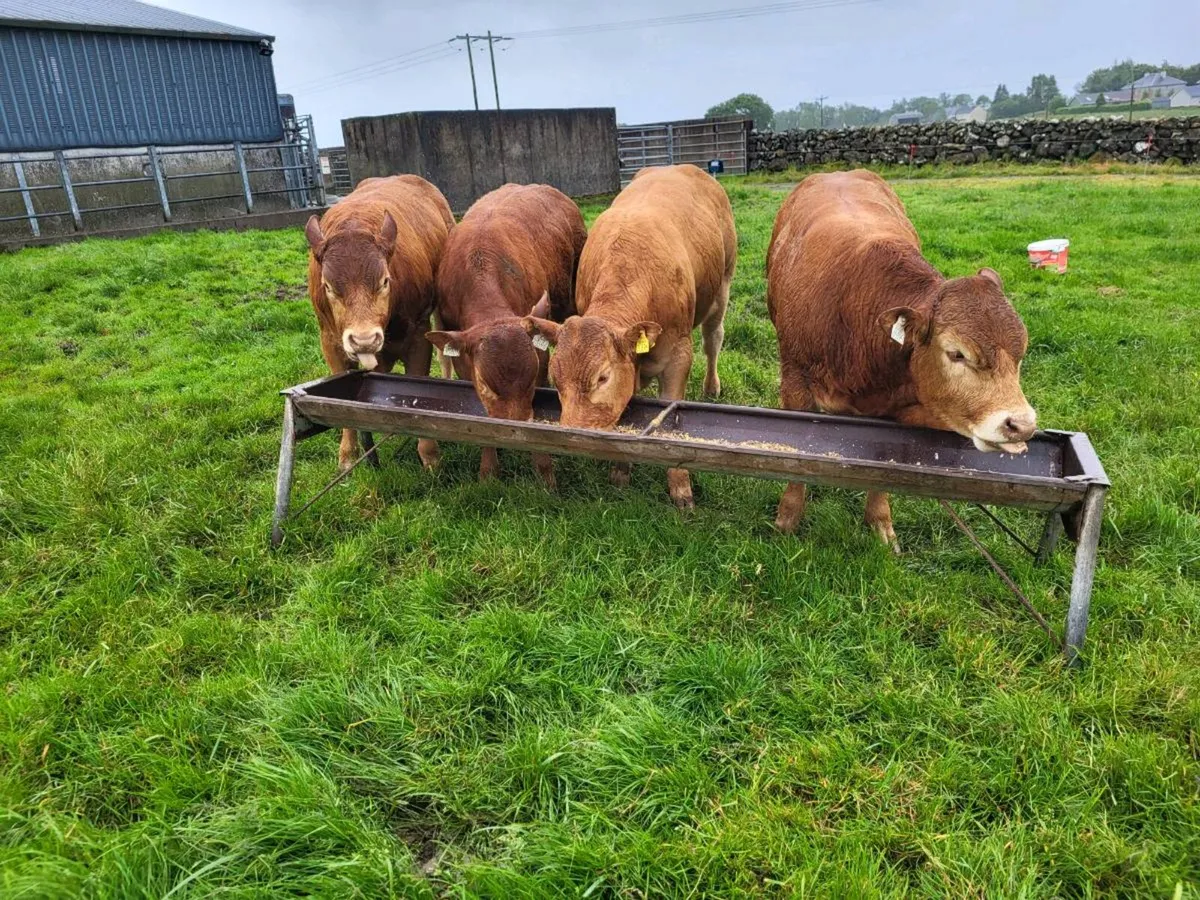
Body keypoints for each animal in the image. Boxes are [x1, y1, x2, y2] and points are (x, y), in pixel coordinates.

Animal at [305, 175, 454, 472]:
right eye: (328, 286)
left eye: (384, 281)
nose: (364, 339)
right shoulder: (330, 341)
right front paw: (348, 456)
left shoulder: (418, 334)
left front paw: (430, 455)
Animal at [425, 183, 587, 488]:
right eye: (484, 383)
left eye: (531, 381)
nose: (513, 435)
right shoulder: (463, 362)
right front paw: (488, 470)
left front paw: (544, 472)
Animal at [522, 165, 737, 509]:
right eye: (555, 379)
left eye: (602, 377)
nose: (571, 437)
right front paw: (620, 472)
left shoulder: (678, 355)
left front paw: (681, 490)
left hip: (723, 285)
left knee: (713, 338)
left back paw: (711, 386)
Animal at [766, 169, 1037, 549]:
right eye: (956, 353)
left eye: (1021, 356)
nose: (1021, 425)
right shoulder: (795, 382)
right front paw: (787, 520)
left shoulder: (892, 409)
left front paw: (880, 524)